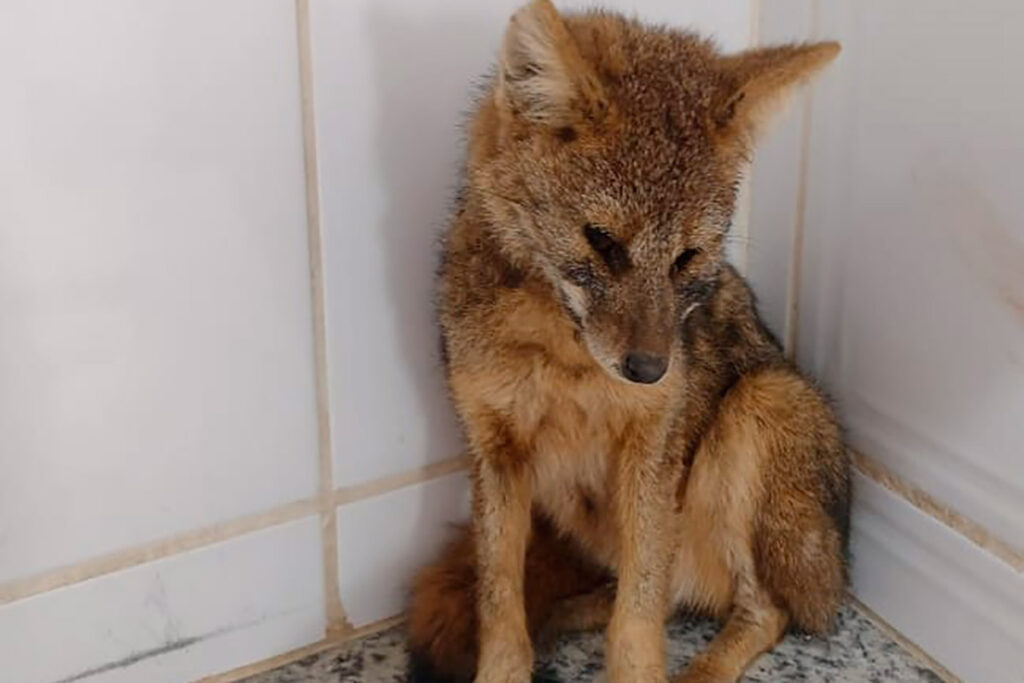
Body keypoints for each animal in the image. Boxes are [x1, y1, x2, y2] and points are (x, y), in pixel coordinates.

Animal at [406, 2, 850, 682]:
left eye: (688, 257)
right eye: (602, 241)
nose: (650, 370)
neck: (566, 365)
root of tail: (839, 569)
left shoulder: (651, 450)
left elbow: (637, 622)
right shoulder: (493, 451)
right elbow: (500, 603)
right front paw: (505, 667)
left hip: (757, 407)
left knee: (760, 610)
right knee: (661, 598)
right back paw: (569, 614)